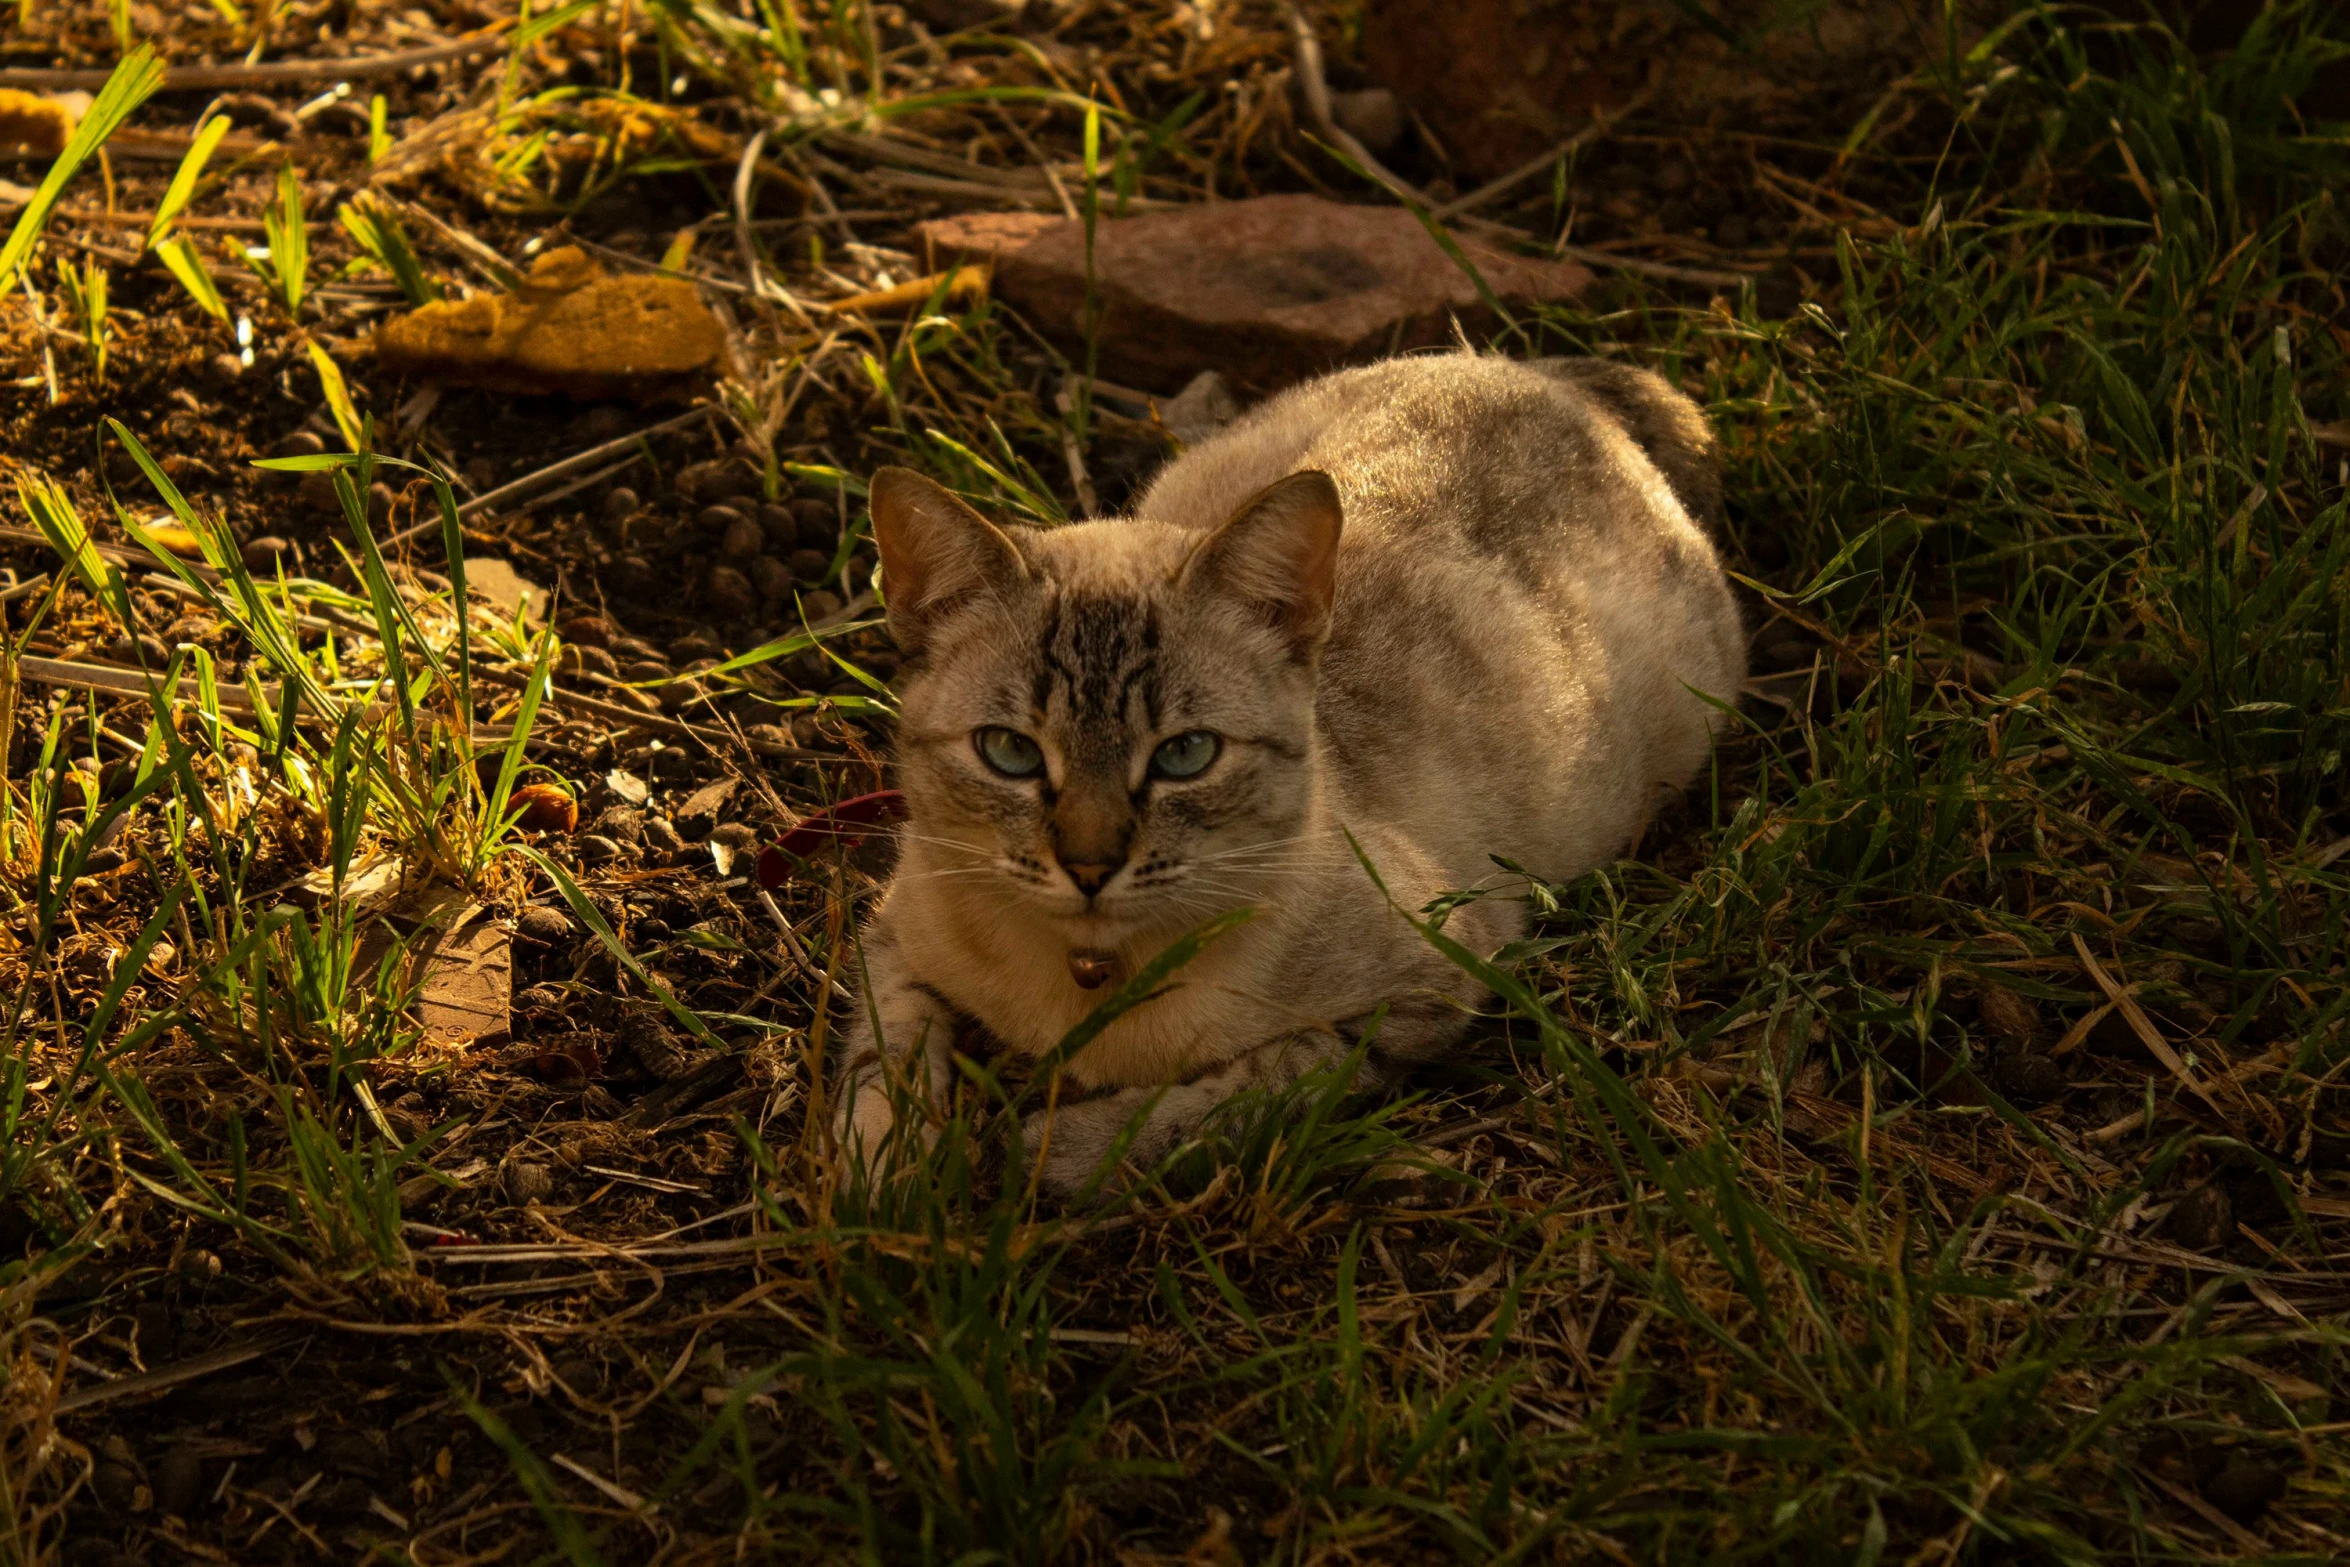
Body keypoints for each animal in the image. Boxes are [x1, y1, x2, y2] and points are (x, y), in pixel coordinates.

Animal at [836, 350, 1738, 1193]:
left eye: (1185, 755)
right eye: (1010, 752)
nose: (1090, 868)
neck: (1088, 978)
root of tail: (1536, 371)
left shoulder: (1423, 993)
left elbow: (1237, 1094)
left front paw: (1051, 1153)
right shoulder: (894, 932)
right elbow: (885, 1056)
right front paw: (879, 1184)